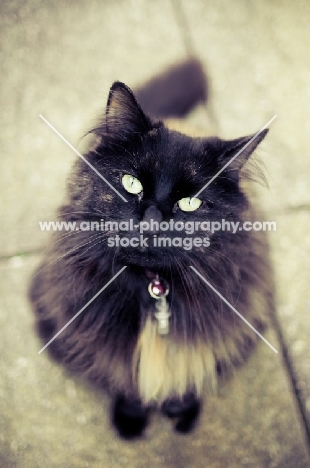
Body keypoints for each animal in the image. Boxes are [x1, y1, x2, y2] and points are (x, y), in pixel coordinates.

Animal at [28, 58, 272, 438]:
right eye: (132, 183)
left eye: (190, 203)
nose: (151, 223)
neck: (154, 287)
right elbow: (127, 384)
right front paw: (130, 421)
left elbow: (187, 378)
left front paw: (182, 413)